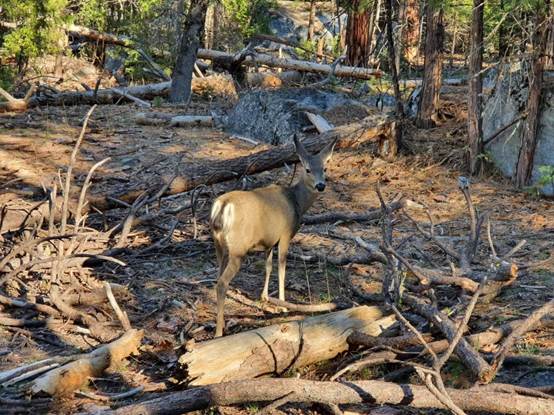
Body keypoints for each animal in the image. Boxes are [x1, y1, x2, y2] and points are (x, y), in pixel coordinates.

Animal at [210, 134, 337, 337]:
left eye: (324, 168)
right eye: (308, 169)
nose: (321, 186)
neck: (296, 202)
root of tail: (222, 206)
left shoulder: (269, 241)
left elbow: (268, 266)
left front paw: (265, 297)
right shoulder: (285, 234)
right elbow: (281, 268)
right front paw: (283, 305)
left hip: (219, 245)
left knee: (217, 277)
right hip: (238, 248)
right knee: (222, 283)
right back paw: (219, 332)